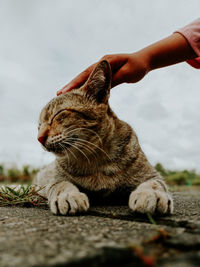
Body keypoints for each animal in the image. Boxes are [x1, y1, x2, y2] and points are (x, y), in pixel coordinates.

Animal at [36, 60, 173, 216]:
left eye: (58, 114)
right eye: (39, 126)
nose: (39, 138)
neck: (95, 157)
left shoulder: (151, 175)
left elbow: (155, 183)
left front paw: (152, 194)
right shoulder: (55, 178)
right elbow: (60, 184)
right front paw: (67, 195)